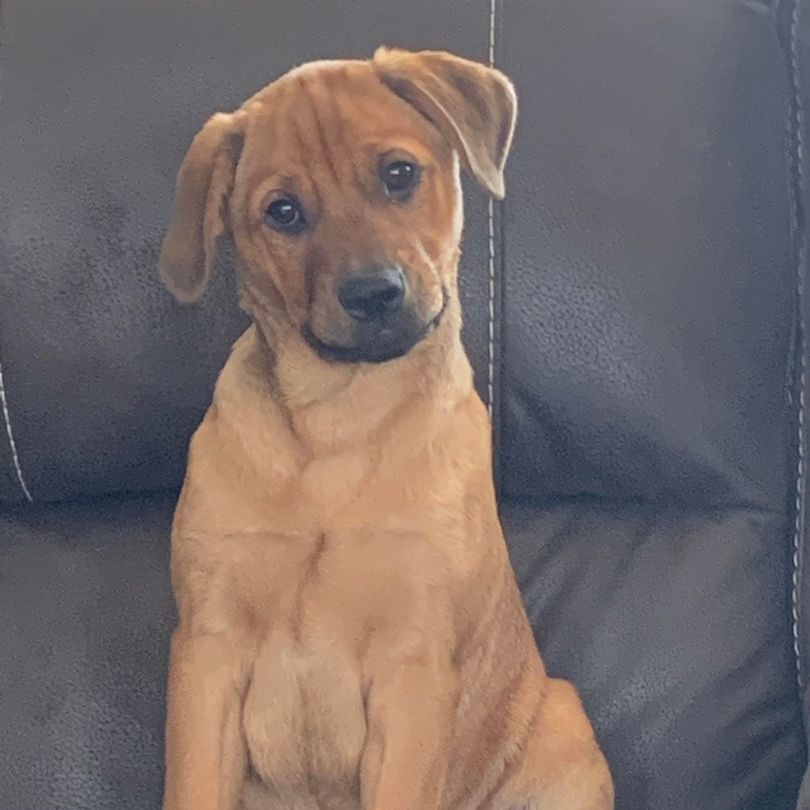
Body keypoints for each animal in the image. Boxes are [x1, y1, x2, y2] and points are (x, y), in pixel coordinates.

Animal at [157, 47, 613, 810]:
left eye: (398, 174)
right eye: (283, 213)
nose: (374, 294)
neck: (338, 421)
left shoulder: (414, 671)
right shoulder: (207, 654)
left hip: (564, 729)